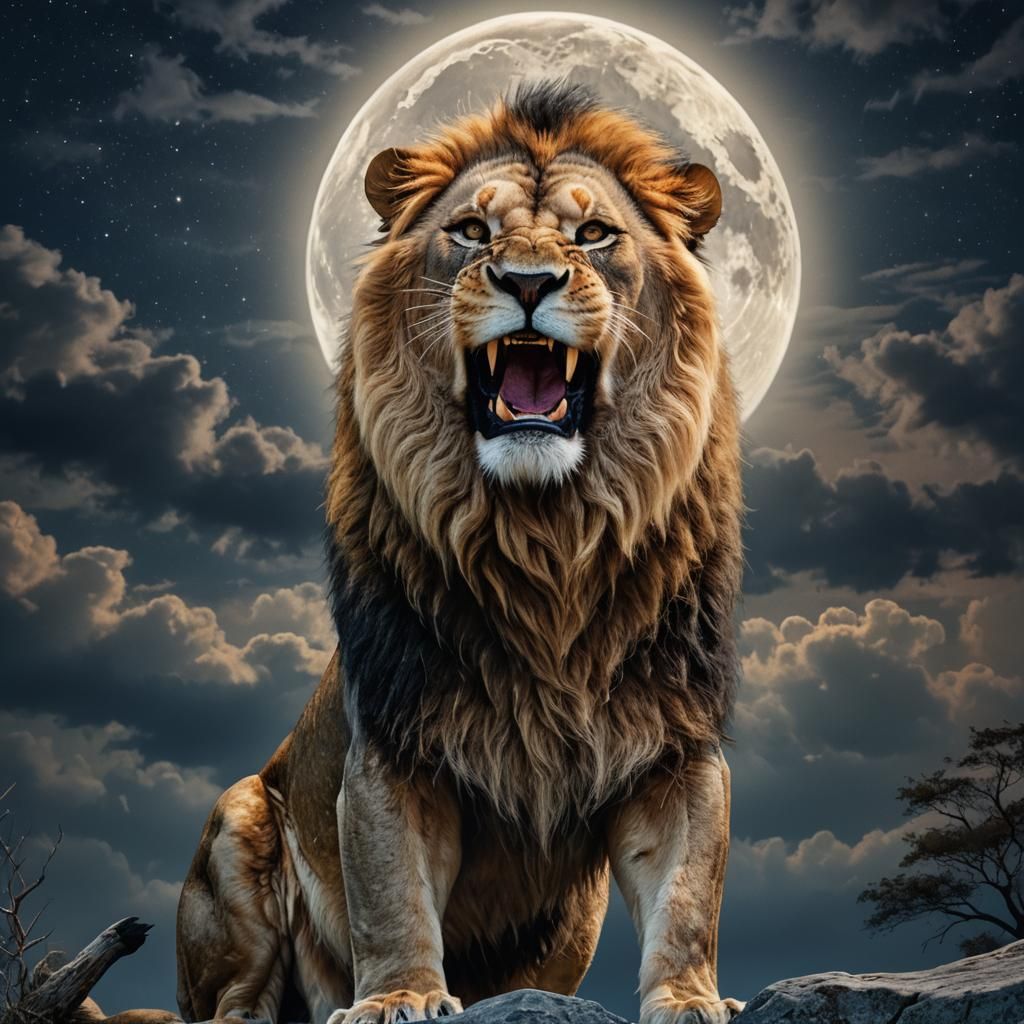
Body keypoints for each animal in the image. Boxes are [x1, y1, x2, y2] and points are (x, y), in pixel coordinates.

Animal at [176, 81, 744, 1024]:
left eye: (595, 234)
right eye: (473, 231)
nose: (527, 281)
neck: (545, 542)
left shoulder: (677, 747)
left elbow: (690, 893)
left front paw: (691, 997)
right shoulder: (392, 750)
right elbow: (392, 892)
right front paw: (399, 996)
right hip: (239, 816)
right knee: (234, 1003)